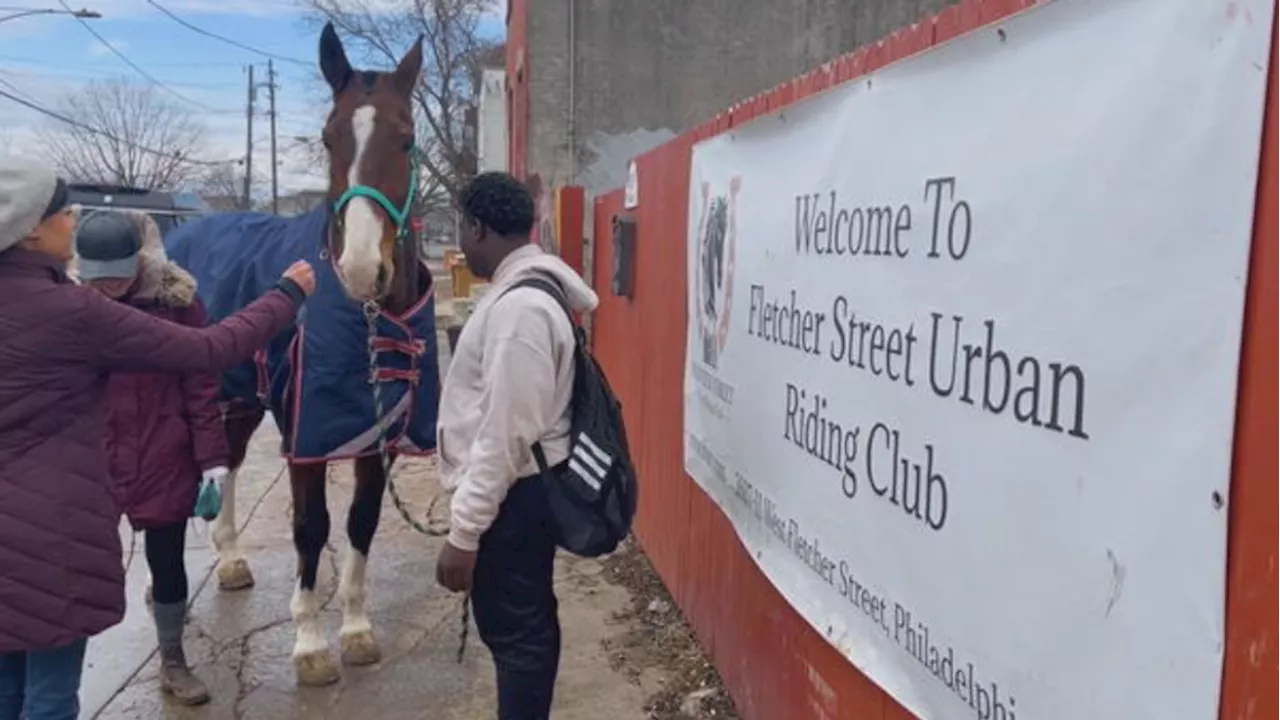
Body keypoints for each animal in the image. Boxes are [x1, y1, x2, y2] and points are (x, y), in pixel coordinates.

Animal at [197, 22, 432, 681]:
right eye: (328, 139)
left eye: (406, 140)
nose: (361, 269)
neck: (369, 321)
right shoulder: (306, 433)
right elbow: (311, 527)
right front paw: (309, 643)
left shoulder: (376, 432)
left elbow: (359, 521)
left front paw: (354, 628)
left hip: (240, 397)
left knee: (227, 460)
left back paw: (231, 559)